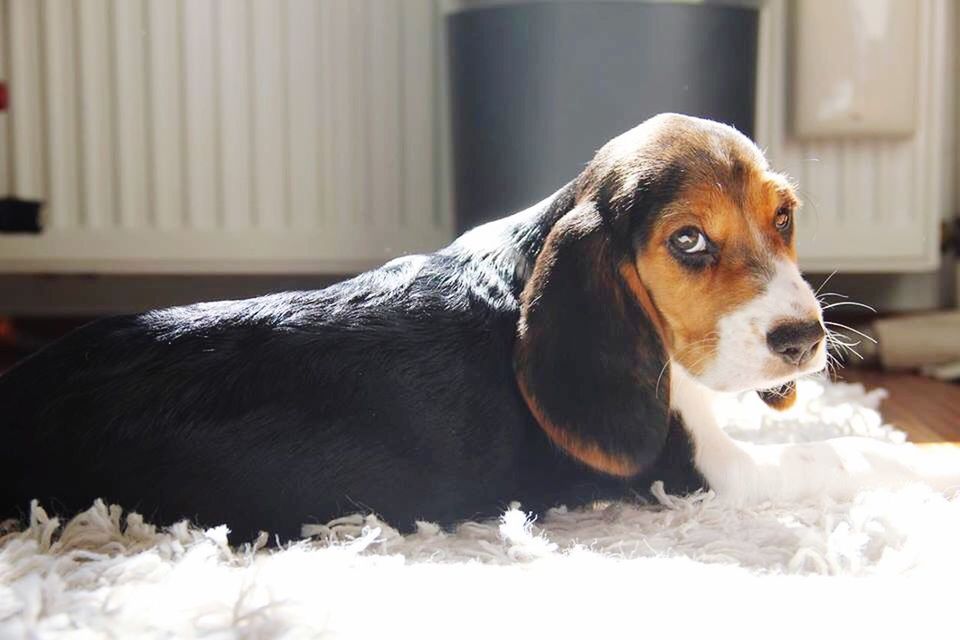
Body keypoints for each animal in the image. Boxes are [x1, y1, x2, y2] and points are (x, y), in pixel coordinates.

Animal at [3, 115, 956, 540]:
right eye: (688, 241)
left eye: (784, 218)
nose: (803, 339)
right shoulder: (700, 474)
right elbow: (847, 452)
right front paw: (934, 465)